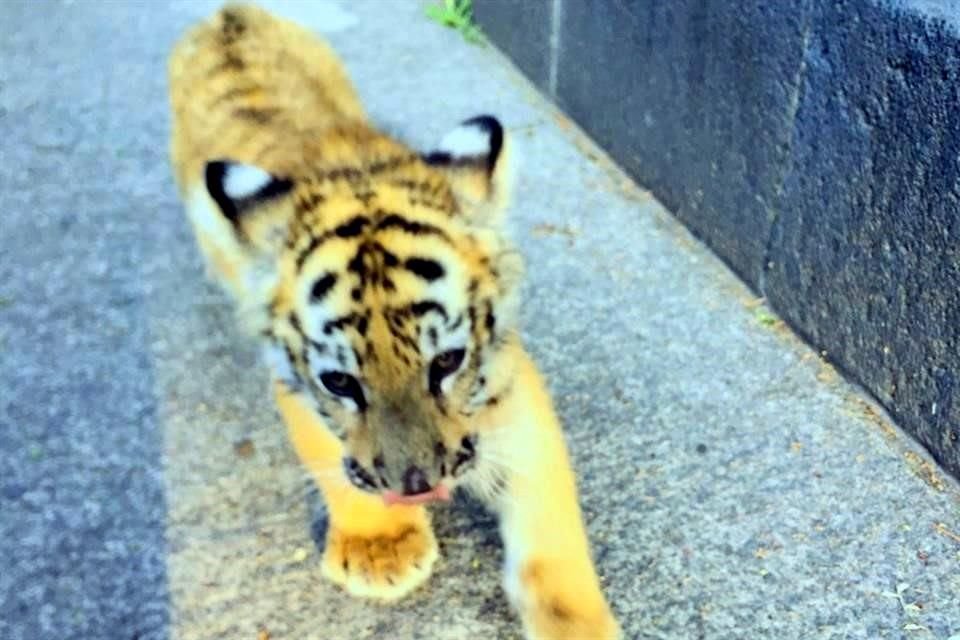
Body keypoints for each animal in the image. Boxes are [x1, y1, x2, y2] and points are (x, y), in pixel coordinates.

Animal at [168, 5, 620, 639]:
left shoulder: (507, 383)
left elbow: (548, 525)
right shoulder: (294, 382)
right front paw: (381, 550)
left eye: (447, 361)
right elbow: (333, 455)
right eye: (340, 382)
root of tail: (228, 15)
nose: (418, 487)